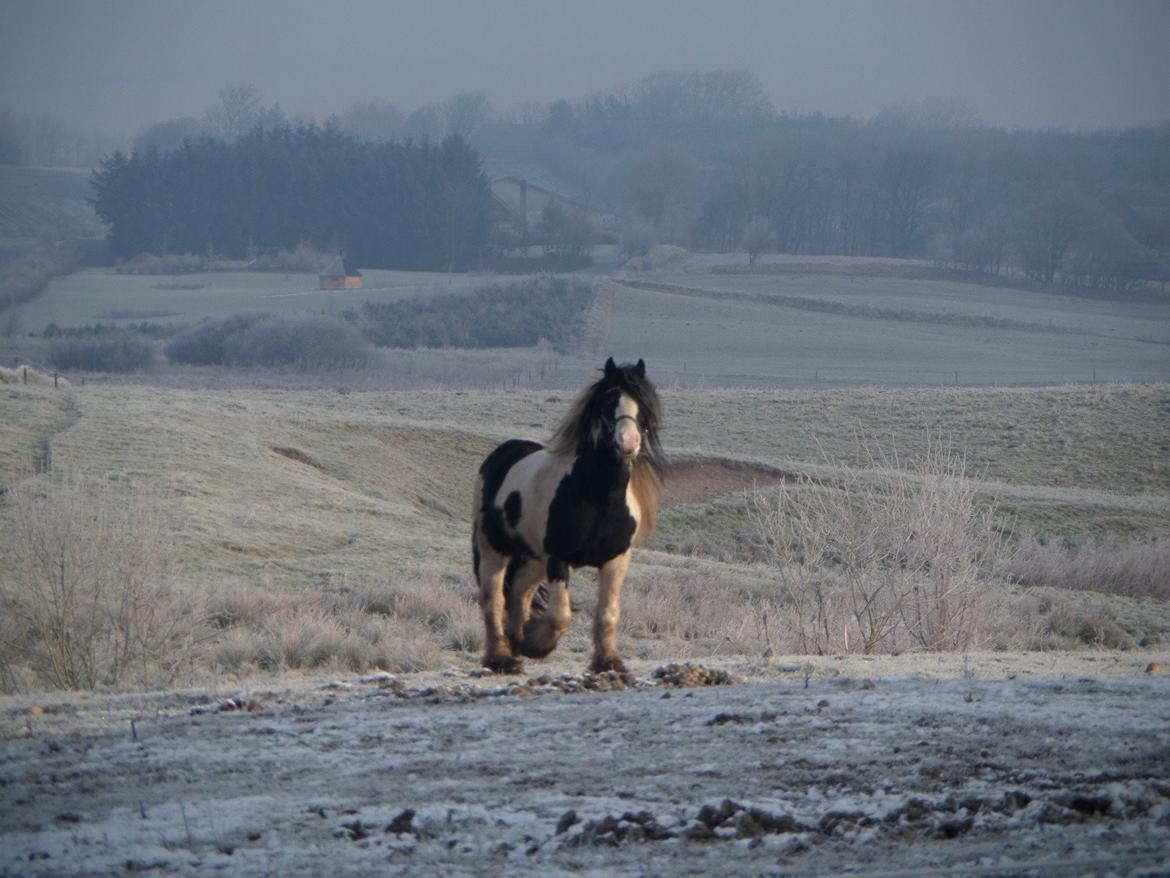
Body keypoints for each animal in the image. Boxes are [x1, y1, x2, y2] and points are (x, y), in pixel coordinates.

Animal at [470, 358, 664, 674]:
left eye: (643, 405)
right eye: (606, 403)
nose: (628, 442)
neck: (597, 497)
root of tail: (504, 452)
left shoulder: (616, 560)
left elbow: (608, 613)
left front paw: (608, 662)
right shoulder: (559, 559)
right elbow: (560, 615)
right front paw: (538, 646)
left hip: (535, 558)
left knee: (519, 590)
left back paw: (517, 639)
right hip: (495, 550)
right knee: (493, 599)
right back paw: (501, 658)